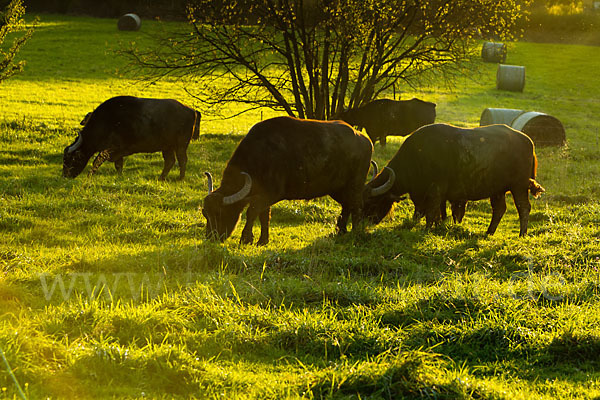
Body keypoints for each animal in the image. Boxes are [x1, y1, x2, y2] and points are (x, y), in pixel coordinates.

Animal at [63, 96, 200, 179]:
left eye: (72, 158)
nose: (66, 175)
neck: (107, 121)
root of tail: (191, 110)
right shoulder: (116, 152)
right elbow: (118, 165)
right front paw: (119, 177)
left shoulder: (113, 149)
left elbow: (97, 161)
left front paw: (89, 176)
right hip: (167, 147)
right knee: (170, 161)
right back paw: (161, 178)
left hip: (181, 145)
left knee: (182, 160)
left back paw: (180, 178)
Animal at [199, 115, 392, 245]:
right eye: (205, 214)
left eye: (219, 213)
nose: (211, 237)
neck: (259, 156)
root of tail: (364, 139)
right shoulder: (264, 196)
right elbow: (264, 216)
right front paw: (263, 240)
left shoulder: (269, 194)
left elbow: (252, 212)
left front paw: (246, 238)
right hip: (338, 188)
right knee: (347, 205)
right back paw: (341, 231)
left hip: (355, 184)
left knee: (356, 205)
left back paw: (355, 232)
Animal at [364, 123, 548, 236]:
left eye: (372, 203)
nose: (366, 222)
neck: (418, 156)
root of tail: (529, 141)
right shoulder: (426, 194)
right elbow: (428, 212)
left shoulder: (435, 190)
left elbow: (430, 212)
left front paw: (426, 229)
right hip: (498, 190)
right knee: (499, 209)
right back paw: (489, 232)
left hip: (519, 186)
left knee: (523, 207)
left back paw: (522, 234)